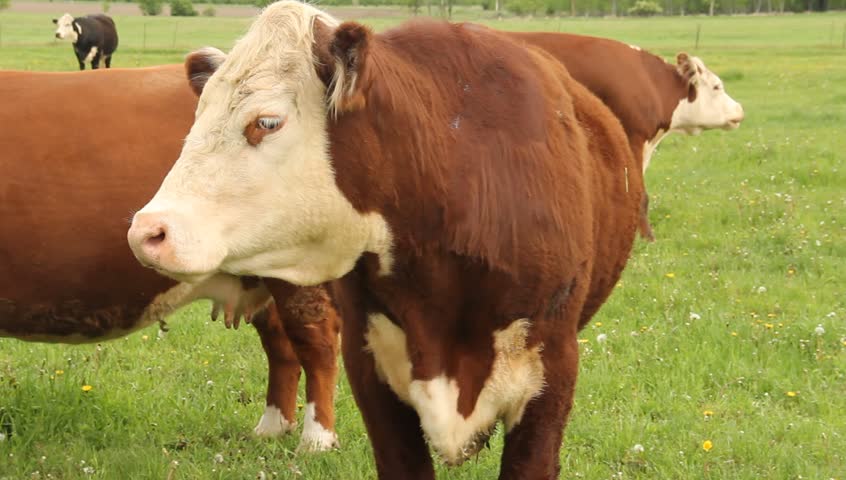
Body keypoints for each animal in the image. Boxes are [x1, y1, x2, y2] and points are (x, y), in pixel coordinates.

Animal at [506, 31, 744, 240]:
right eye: (717, 87)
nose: (740, 109)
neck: (650, 82)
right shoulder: (632, 139)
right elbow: (639, 195)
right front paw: (646, 238)